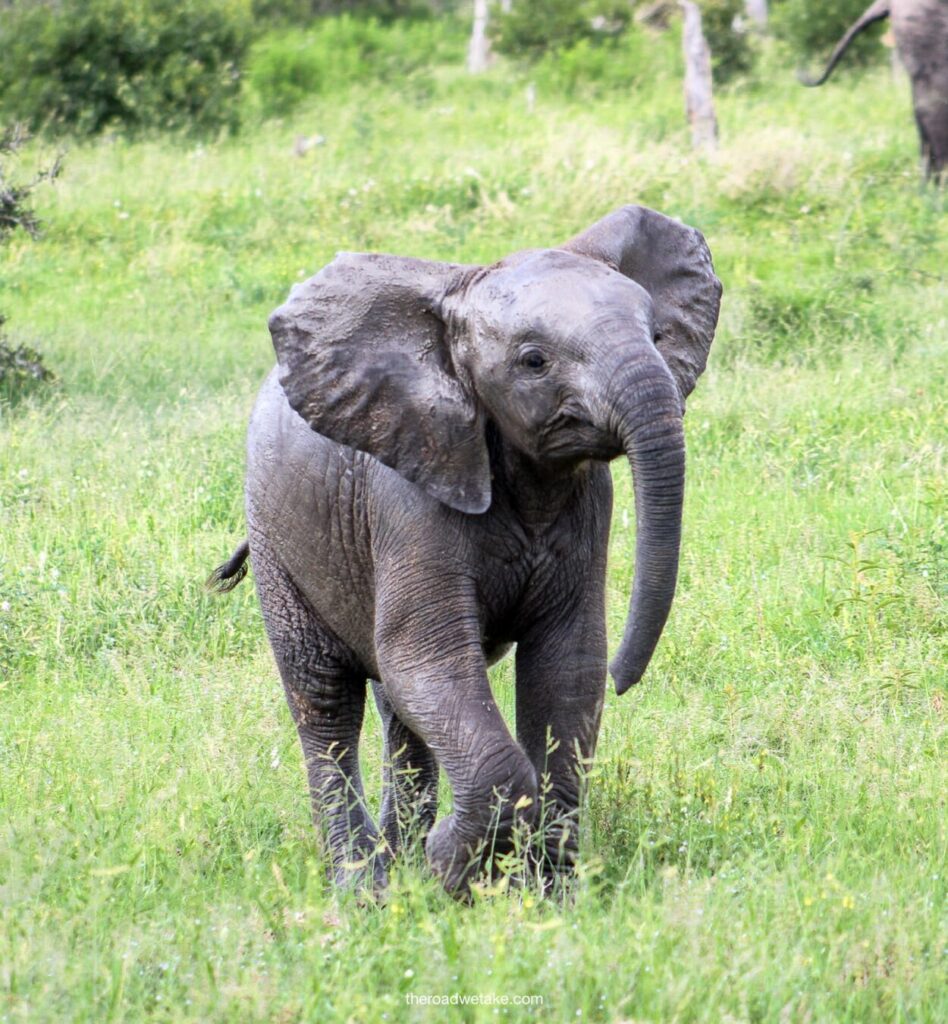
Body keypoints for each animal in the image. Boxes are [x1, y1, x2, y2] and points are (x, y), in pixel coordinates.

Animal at [211, 203, 724, 892]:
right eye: (533, 361)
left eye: (658, 334)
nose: (625, 680)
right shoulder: (407, 501)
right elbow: (428, 660)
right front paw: (449, 868)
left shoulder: (590, 502)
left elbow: (566, 668)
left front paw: (542, 892)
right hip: (276, 537)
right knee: (324, 699)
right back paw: (365, 886)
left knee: (400, 711)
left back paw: (399, 864)